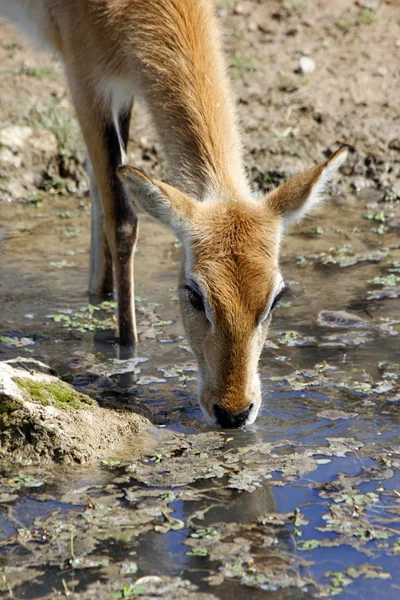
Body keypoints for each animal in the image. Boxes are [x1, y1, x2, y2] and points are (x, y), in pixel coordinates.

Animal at [0, 2, 346, 428]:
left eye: (276, 298)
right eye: (194, 294)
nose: (234, 412)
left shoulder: (121, 88)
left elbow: (101, 187)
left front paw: (99, 296)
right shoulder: (84, 78)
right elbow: (122, 217)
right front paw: (126, 353)